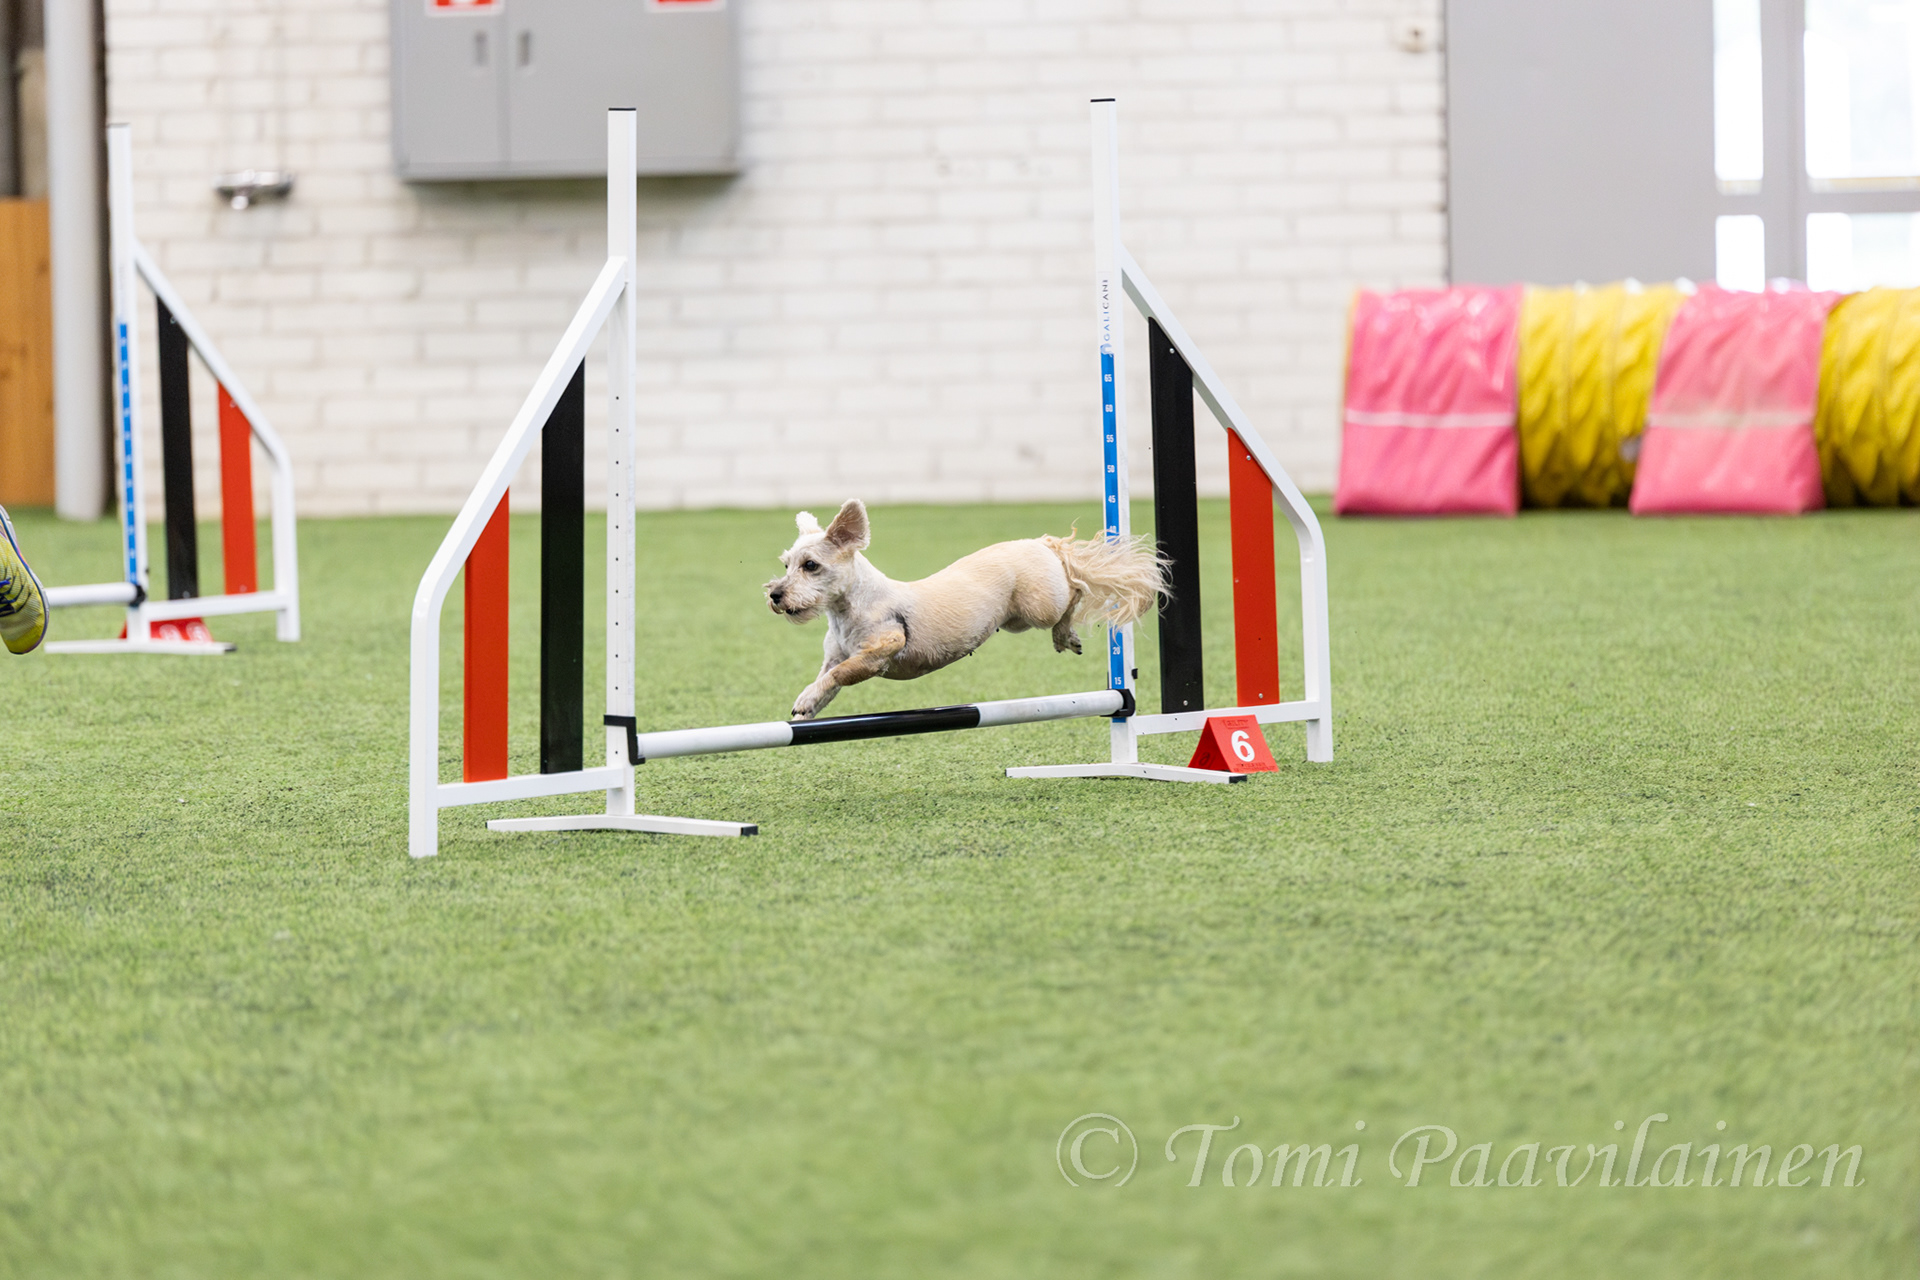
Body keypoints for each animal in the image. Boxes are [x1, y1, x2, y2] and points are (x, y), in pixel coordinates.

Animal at [764, 499, 1167, 719]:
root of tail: (1041, 543)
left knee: (1076, 590)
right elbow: (826, 679)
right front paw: (807, 706)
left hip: (1040, 605)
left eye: (811, 565)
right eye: (785, 564)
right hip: (1016, 619)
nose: (775, 595)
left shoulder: (879, 652)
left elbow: (839, 674)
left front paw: (805, 698)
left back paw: (1065, 635)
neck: (848, 611)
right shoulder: (837, 655)